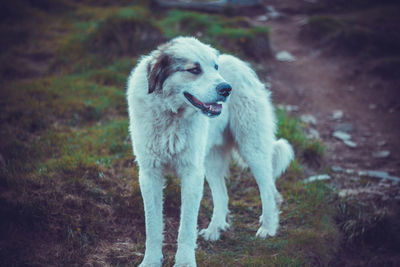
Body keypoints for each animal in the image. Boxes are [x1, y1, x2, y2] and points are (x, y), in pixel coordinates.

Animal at [127, 36, 294, 266]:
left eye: (215, 67)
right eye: (194, 69)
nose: (226, 89)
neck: (171, 115)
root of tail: (239, 62)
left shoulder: (192, 174)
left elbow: (186, 227)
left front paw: (184, 262)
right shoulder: (149, 174)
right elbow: (152, 225)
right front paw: (151, 260)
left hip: (252, 149)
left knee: (269, 190)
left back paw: (268, 227)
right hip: (210, 162)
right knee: (222, 195)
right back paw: (216, 229)